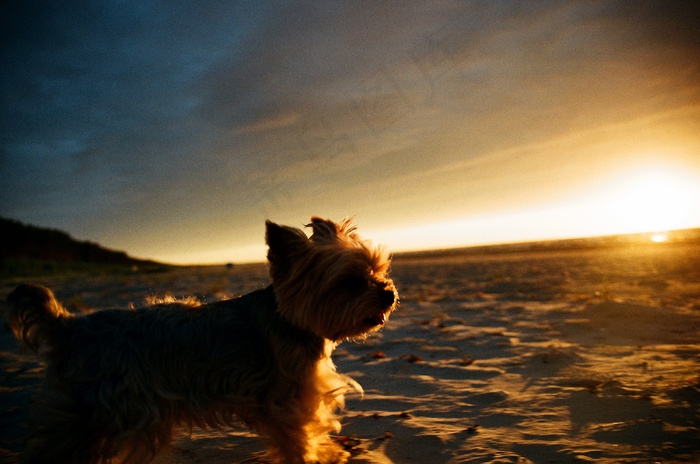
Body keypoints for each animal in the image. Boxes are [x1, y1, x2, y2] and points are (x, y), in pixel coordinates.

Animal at [5, 218, 396, 464]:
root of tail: (68, 325)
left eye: (379, 271)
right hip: (93, 413)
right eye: (348, 282)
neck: (292, 320)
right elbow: (300, 434)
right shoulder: (288, 397)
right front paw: (312, 457)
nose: (389, 294)